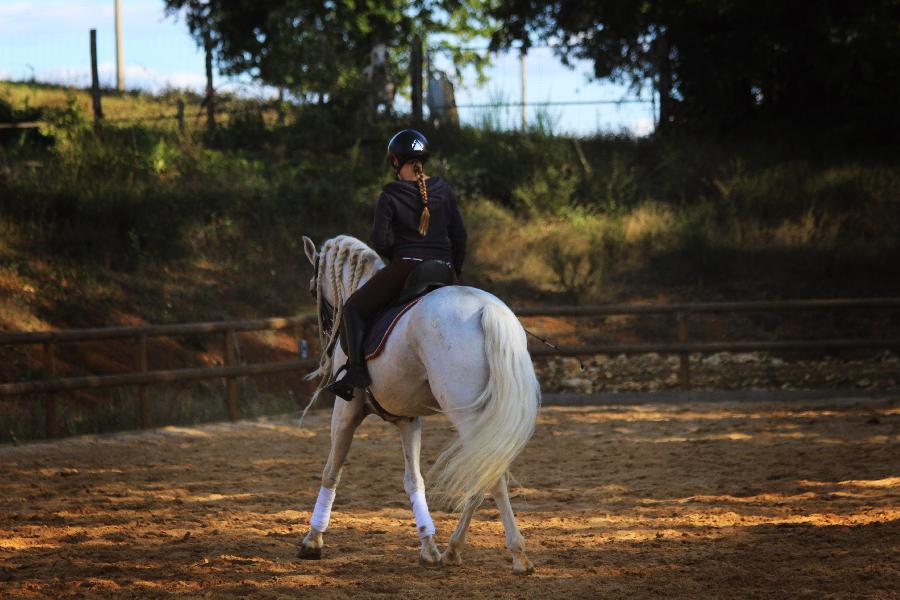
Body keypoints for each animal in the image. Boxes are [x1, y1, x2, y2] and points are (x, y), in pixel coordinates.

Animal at [298, 234, 540, 572]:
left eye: (311, 289)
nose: (325, 334)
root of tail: (487, 309)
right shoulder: (407, 420)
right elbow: (414, 481)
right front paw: (428, 546)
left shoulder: (346, 410)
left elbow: (331, 472)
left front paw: (312, 541)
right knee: (486, 472)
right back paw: (453, 550)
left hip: (469, 416)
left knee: (491, 475)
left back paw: (516, 554)